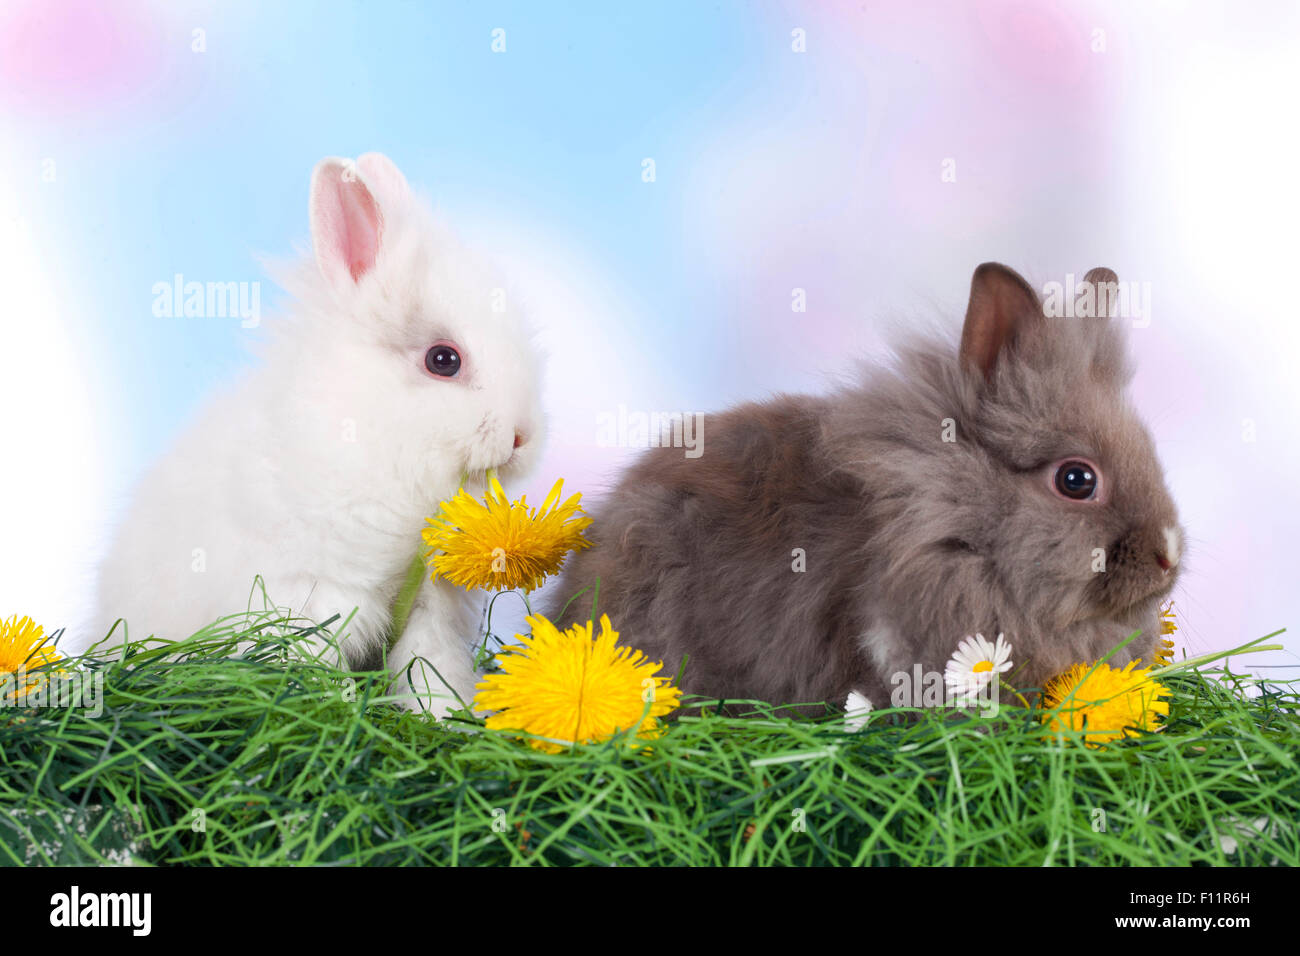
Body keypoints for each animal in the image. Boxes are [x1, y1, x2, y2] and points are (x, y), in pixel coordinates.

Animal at [92, 151, 543, 717]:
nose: (523, 436)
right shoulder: (315, 592)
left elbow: (430, 671)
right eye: (444, 360)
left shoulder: (430, 610)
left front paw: (447, 718)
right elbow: (310, 663)